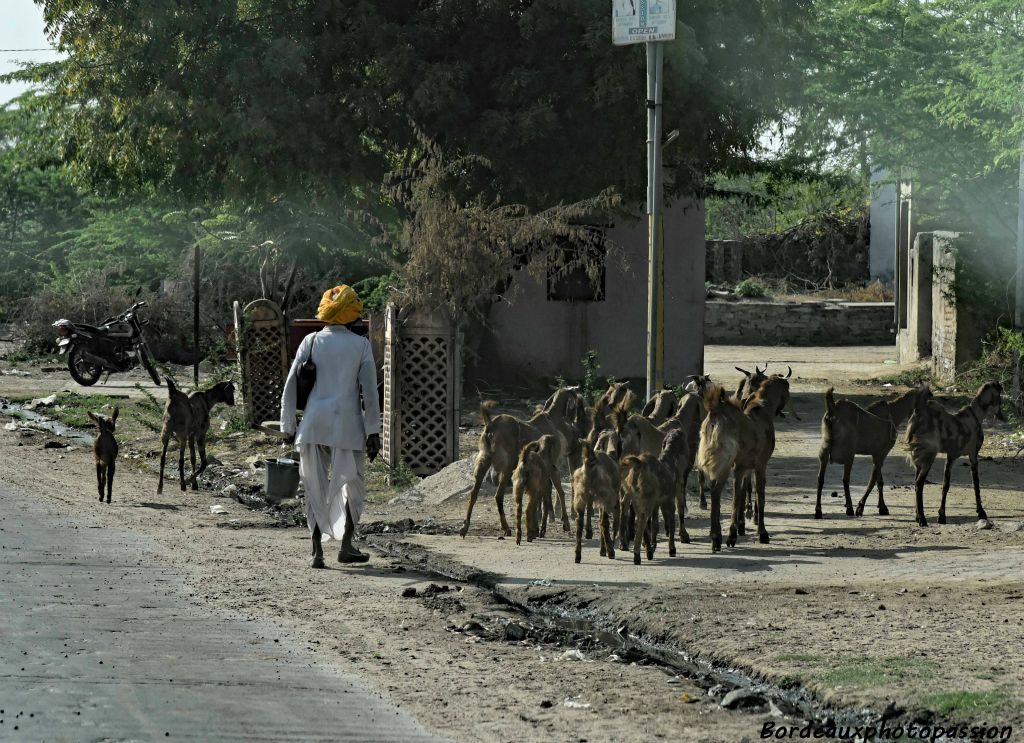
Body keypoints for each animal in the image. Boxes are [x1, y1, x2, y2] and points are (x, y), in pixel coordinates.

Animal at [811, 386, 933, 521]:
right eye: (928, 398)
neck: (893, 413)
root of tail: (832, 410)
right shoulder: (880, 453)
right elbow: (873, 480)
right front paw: (861, 507)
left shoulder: (877, 454)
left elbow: (880, 481)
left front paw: (882, 507)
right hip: (848, 453)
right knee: (845, 479)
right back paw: (850, 508)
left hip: (824, 451)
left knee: (820, 479)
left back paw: (818, 511)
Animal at [909, 384, 1003, 528]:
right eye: (1000, 396)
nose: (1001, 416)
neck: (976, 415)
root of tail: (917, 417)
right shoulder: (973, 455)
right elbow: (976, 484)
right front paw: (981, 512)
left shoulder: (951, 456)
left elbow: (945, 486)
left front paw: (941, 516)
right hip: (929, 456)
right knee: (919, 484)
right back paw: (922, 520)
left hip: (918, 458)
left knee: (915, 483)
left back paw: (917, 517)